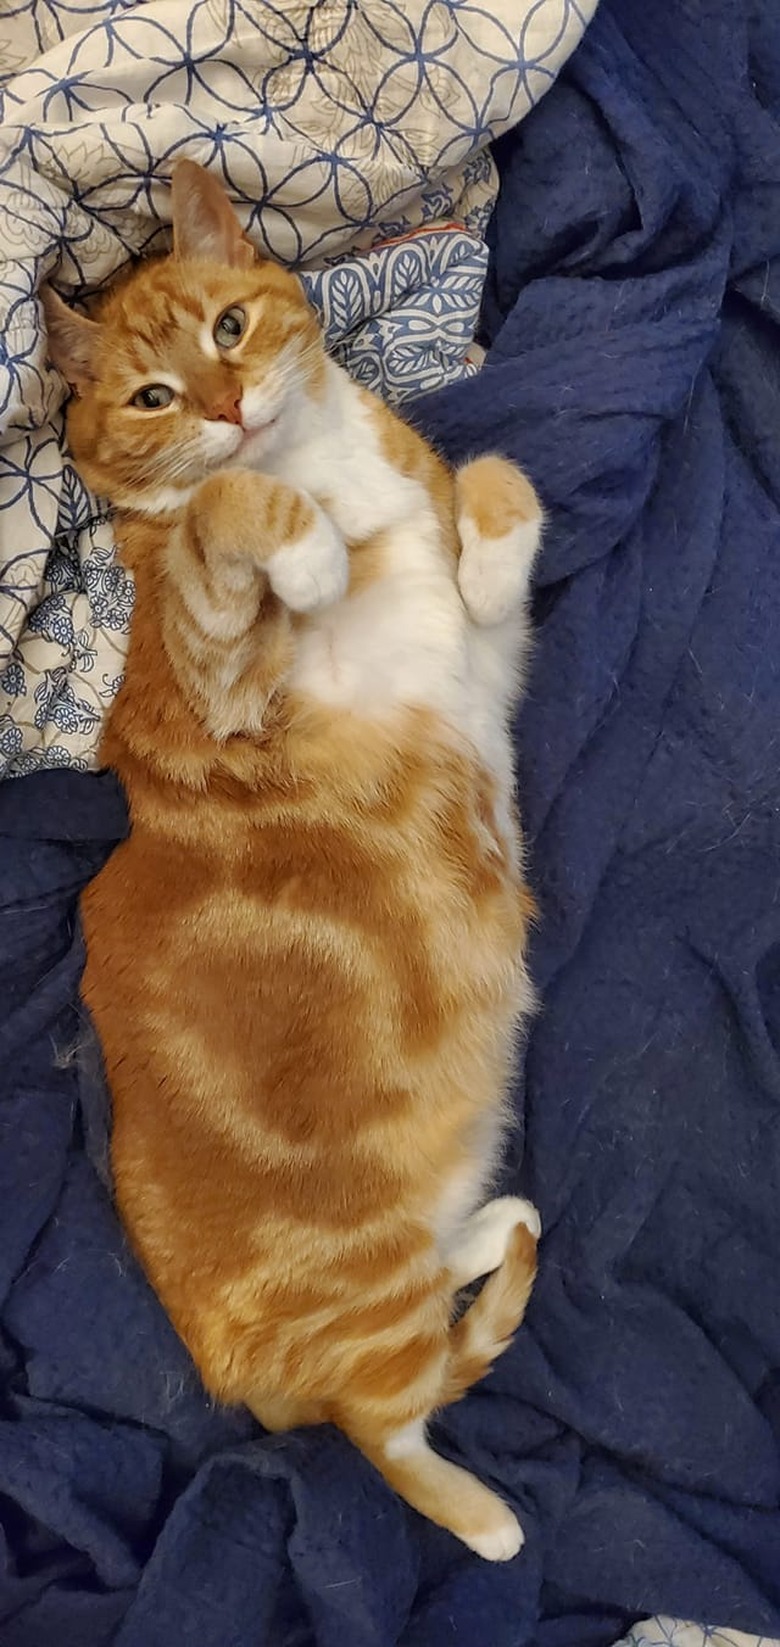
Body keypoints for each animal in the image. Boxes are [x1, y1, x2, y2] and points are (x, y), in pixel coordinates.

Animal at [41, 160, 543, 1561]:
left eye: (229, 328)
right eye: (152, 398)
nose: (227, 407)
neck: (318, 465)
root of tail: (239, 1380)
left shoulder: (489, 647)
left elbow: (498, 483)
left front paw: (472, 520)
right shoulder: (218, 679)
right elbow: (228, 510)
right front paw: (305, 548)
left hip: (412, 1251)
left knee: (430, 1325)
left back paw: (497, 1226)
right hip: (361, 1307)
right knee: (390, 1429)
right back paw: (493, 1526)